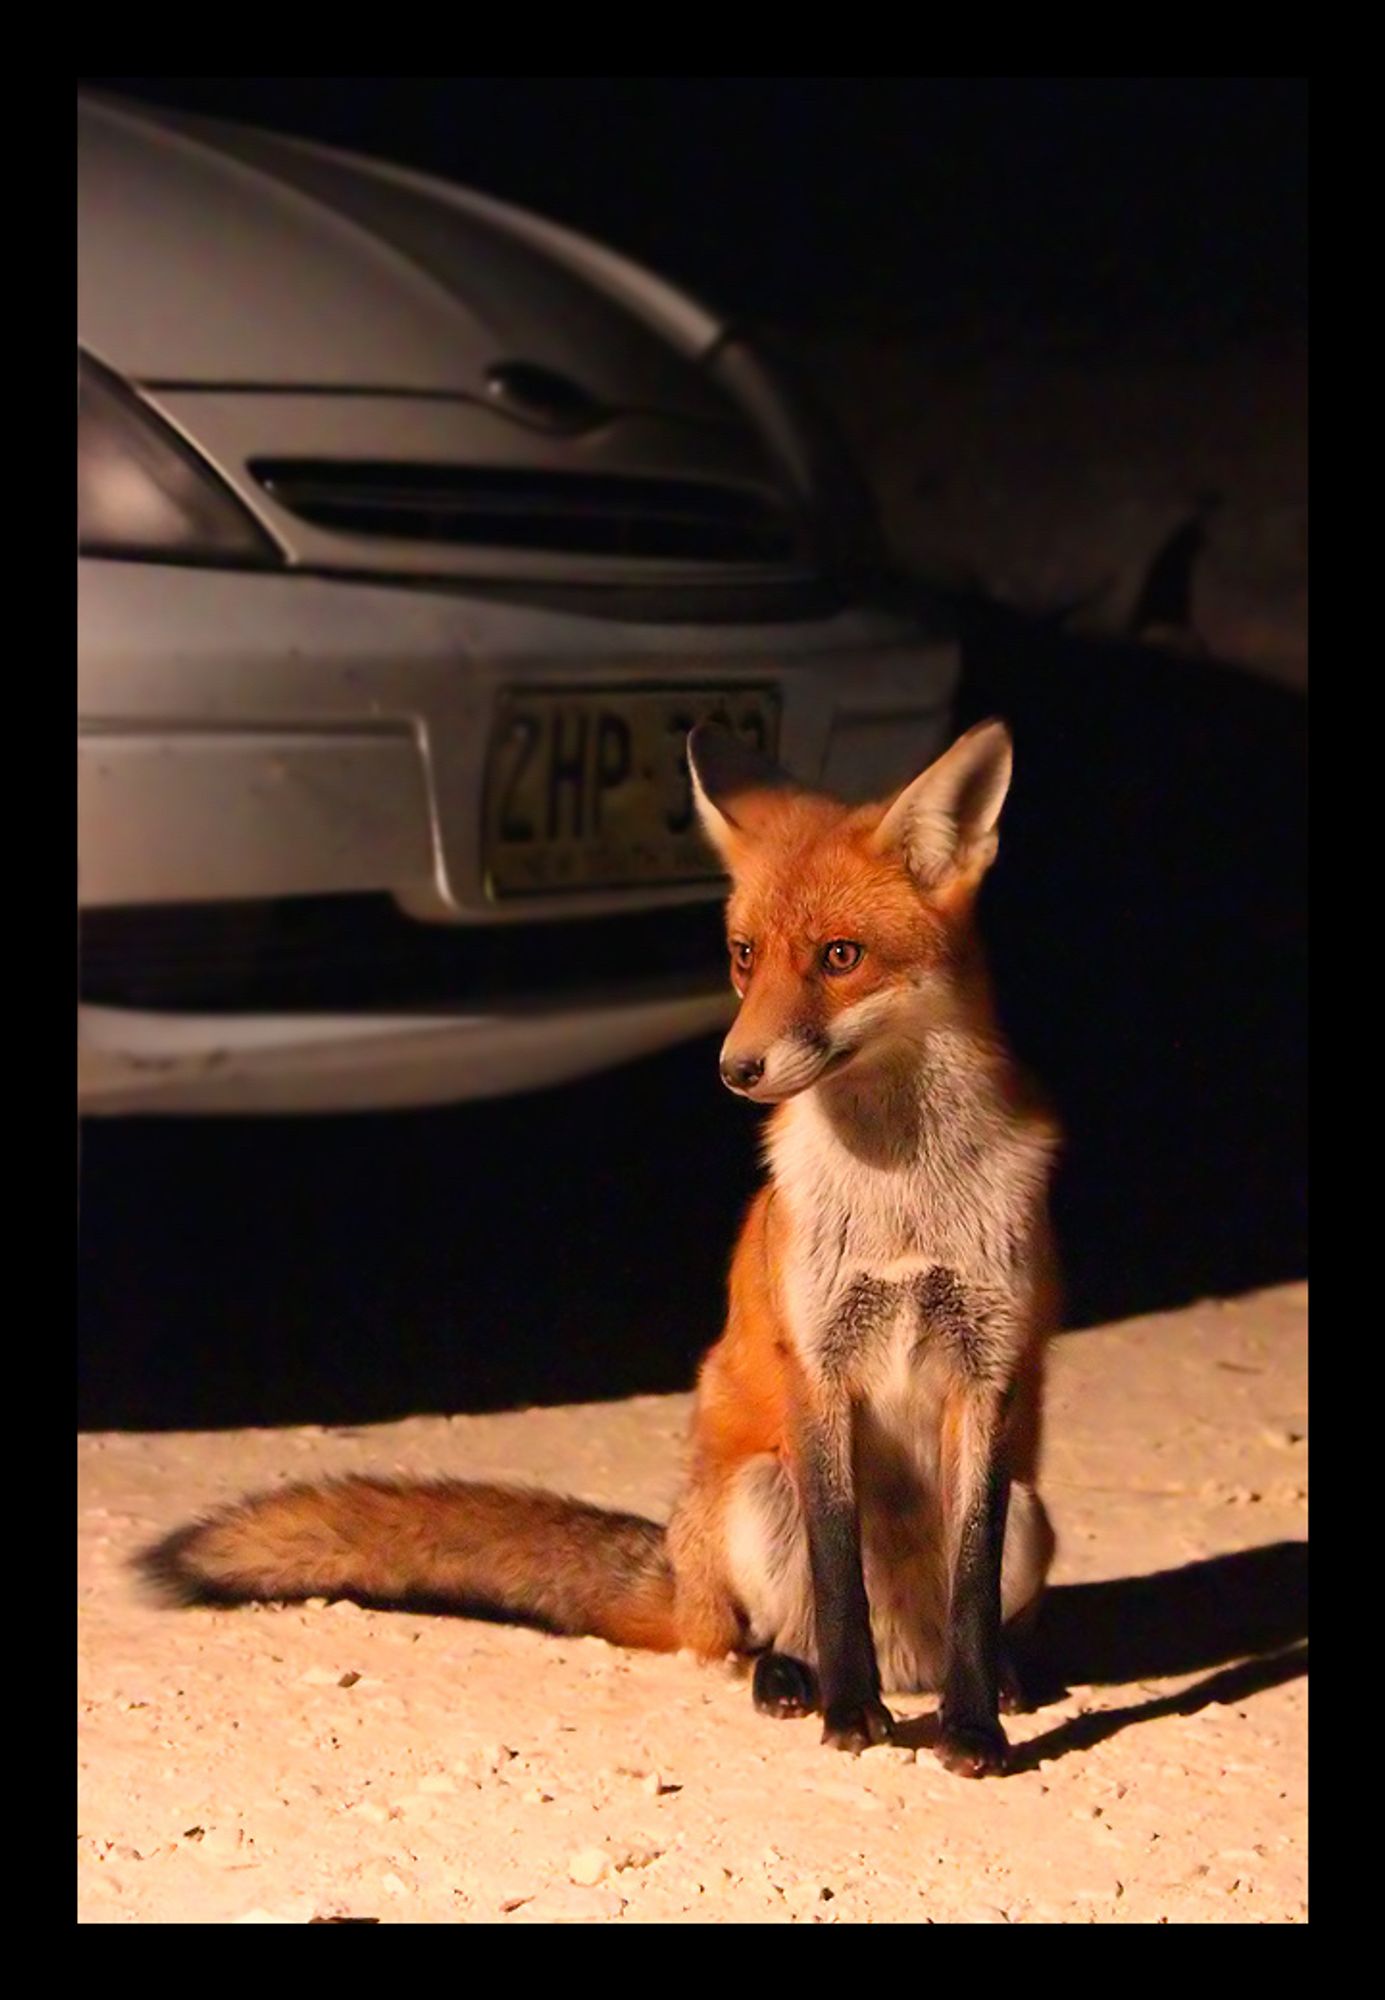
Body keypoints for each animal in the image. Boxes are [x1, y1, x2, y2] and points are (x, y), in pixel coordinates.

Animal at [141, 720, 1056, 1784]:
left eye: (840, 957)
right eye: (743, 956)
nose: (734, 1069)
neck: (905, 1204)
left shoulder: (986, 1375)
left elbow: (970, 1586)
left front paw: (974, 1728)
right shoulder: (817, 1369)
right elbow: (837, 1584)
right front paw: (850, 1714)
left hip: (1032, 1512)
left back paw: (998, 1680)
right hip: (758, 1497)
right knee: (751, 1637)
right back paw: (793, 1679)